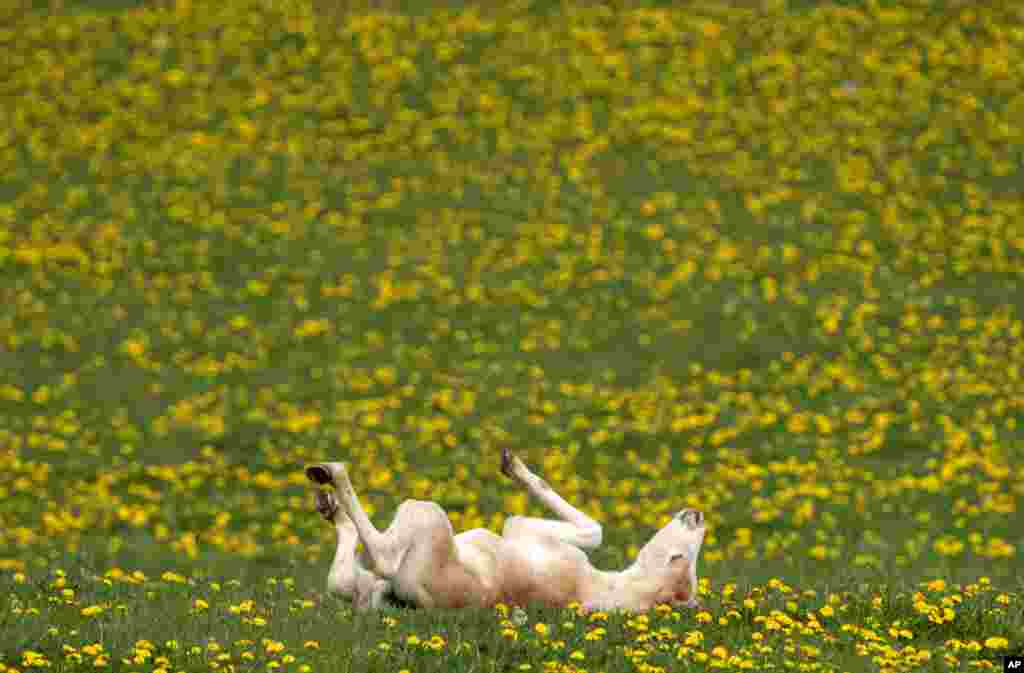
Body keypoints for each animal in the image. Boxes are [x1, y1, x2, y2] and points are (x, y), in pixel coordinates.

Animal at [303, 448, 704, 610]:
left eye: (681, 557)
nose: (698, 515)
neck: (609, 585)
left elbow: (594, 531)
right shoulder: (524, 530)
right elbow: (595, 529)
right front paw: (515, 467)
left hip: (427, 519)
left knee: (382, 554)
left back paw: (331, 474)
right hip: (358, 583)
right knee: (345, 568)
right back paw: (331, 506)